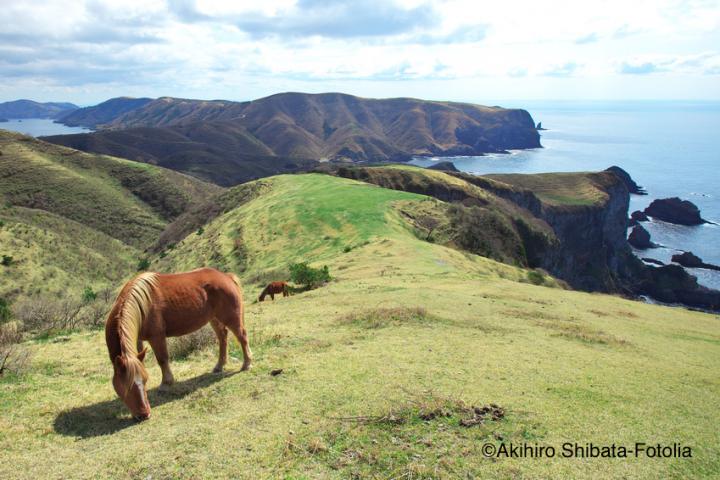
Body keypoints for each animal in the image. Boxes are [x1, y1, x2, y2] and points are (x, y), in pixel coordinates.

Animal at [104, 266, 253, 420]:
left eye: (144, 381)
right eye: (126, 386)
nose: (145, 414)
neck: (142, 305)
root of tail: (227, 277)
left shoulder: (157, 337)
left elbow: (162, 359)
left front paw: (166, 383)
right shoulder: (138, 340)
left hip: (231, 317)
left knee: (242, 337)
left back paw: (246, 364)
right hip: (214, 318)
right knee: (222, 337)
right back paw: (219, 366)